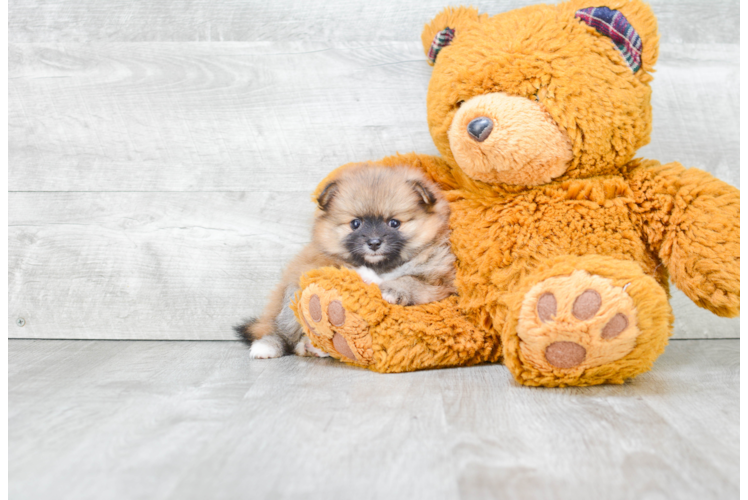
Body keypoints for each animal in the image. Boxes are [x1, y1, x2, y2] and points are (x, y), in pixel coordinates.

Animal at [234, 164, 456, 360]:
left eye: (394, 223)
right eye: (355, 223)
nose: (374, 243)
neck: (382, 266)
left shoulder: (440, 284)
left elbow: (409, 281)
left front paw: (390, 289)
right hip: (290, 295)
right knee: (282, 331)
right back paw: (269, 346)